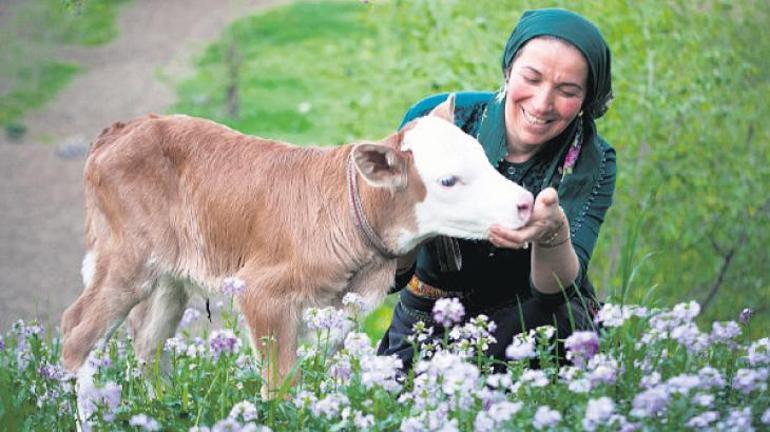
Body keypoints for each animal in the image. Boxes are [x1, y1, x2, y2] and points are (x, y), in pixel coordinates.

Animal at [60, 94, 532, 392]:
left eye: (483, 158)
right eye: (448, 180)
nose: (525, 202)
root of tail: (126, 128)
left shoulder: (341, 309)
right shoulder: (264, 294)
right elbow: (281, 384)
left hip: (169, 278)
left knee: (148, 345)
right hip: (129, 259)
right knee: (77, 333)